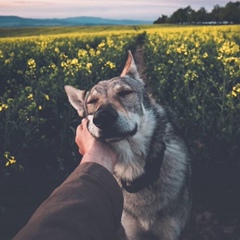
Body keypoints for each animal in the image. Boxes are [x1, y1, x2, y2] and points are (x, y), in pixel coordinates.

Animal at [63, 51, 191, 239]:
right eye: (92, 102)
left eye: (125, 93)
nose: (102, 117)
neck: (135, 172)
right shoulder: (131, 232)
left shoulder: (171, 232)